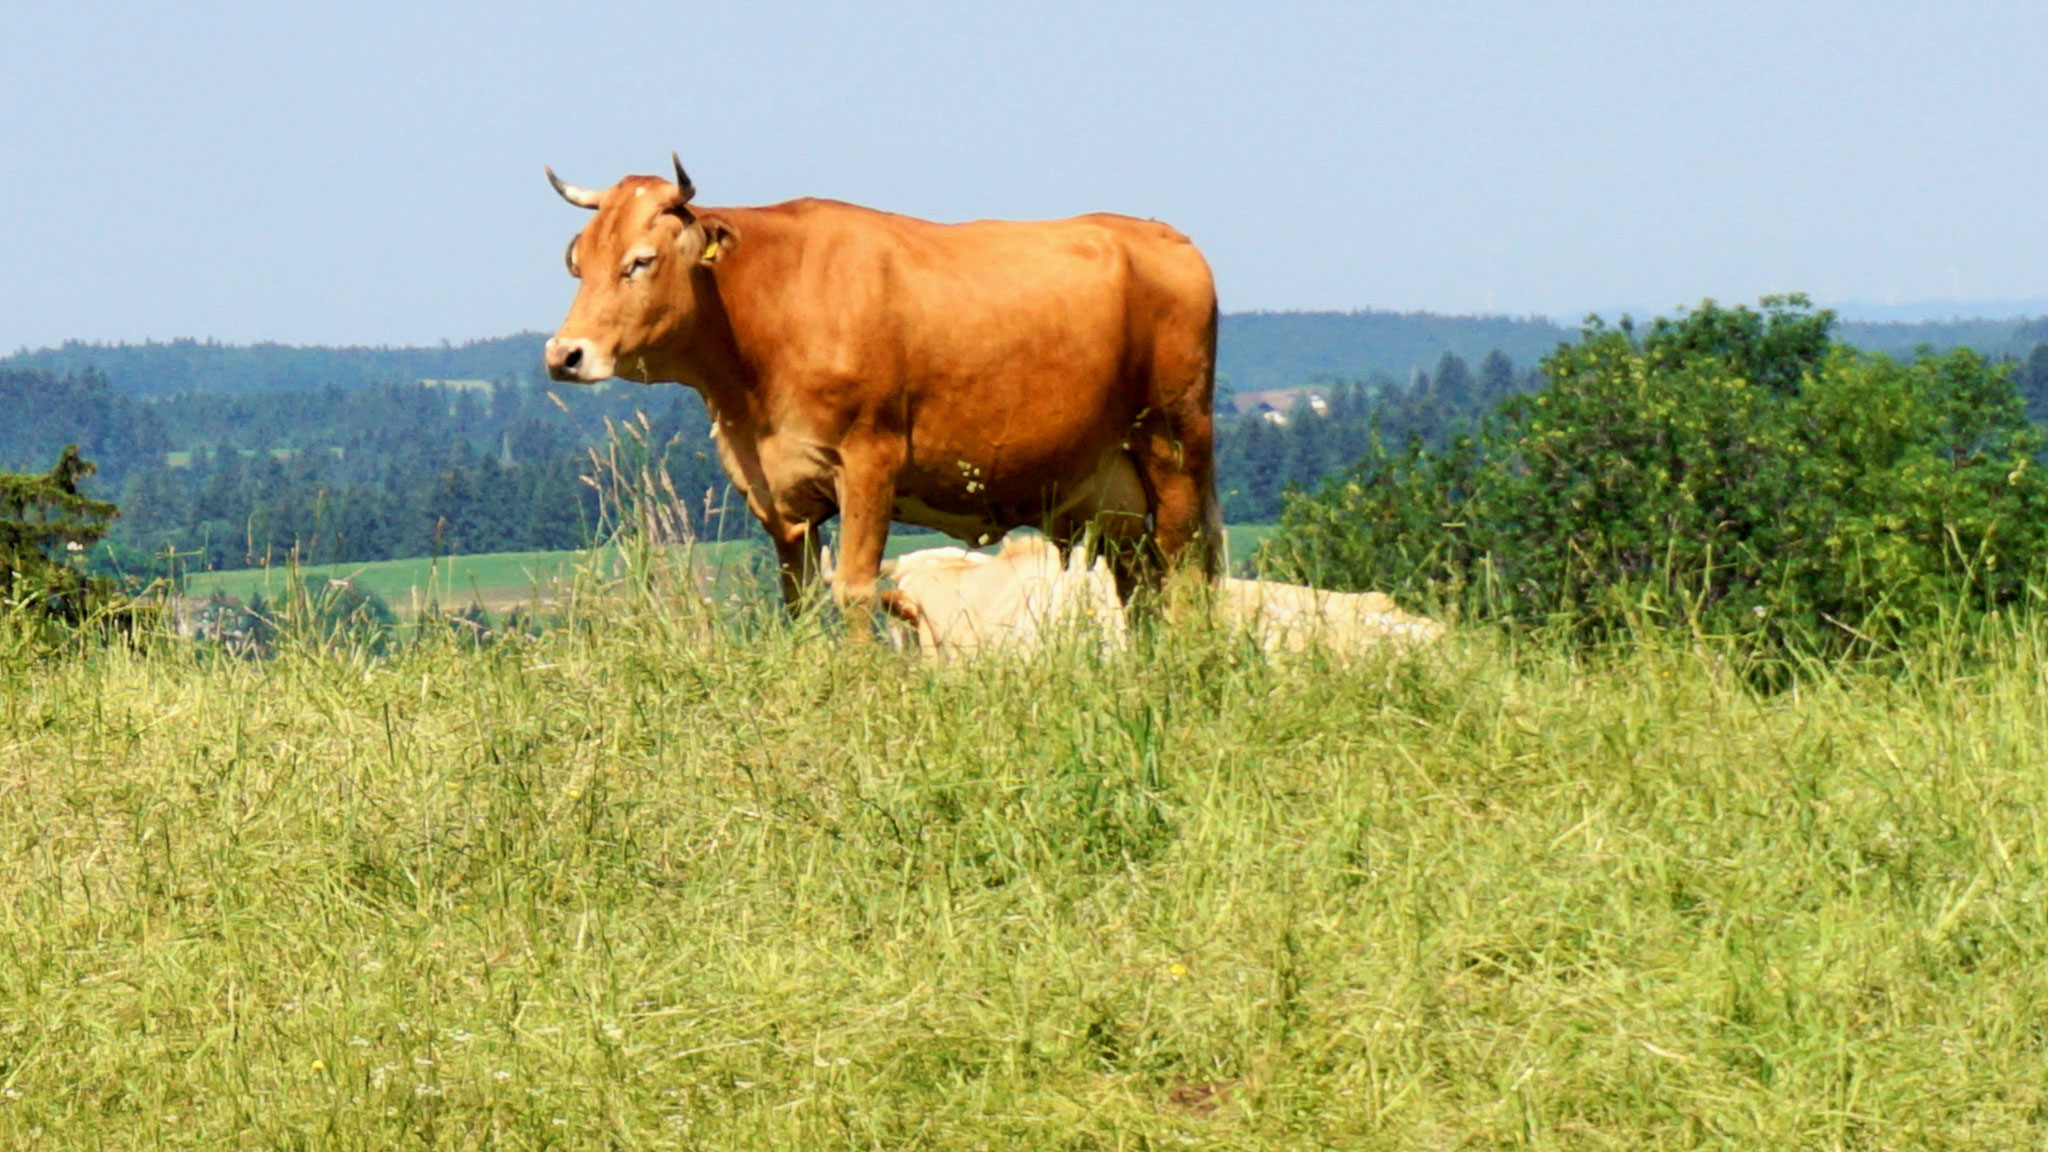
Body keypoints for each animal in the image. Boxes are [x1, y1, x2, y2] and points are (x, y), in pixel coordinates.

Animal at [541, 155, 1222, 635]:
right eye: (579, 262)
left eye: (641, 260)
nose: (563, 354)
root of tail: (1165, 235)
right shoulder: (776, 492)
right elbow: (799, 599)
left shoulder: (870, 459)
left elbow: (854, 591)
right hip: (1110, 493)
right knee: (1138, 585)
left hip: (1174, 444)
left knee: (1185, 573)